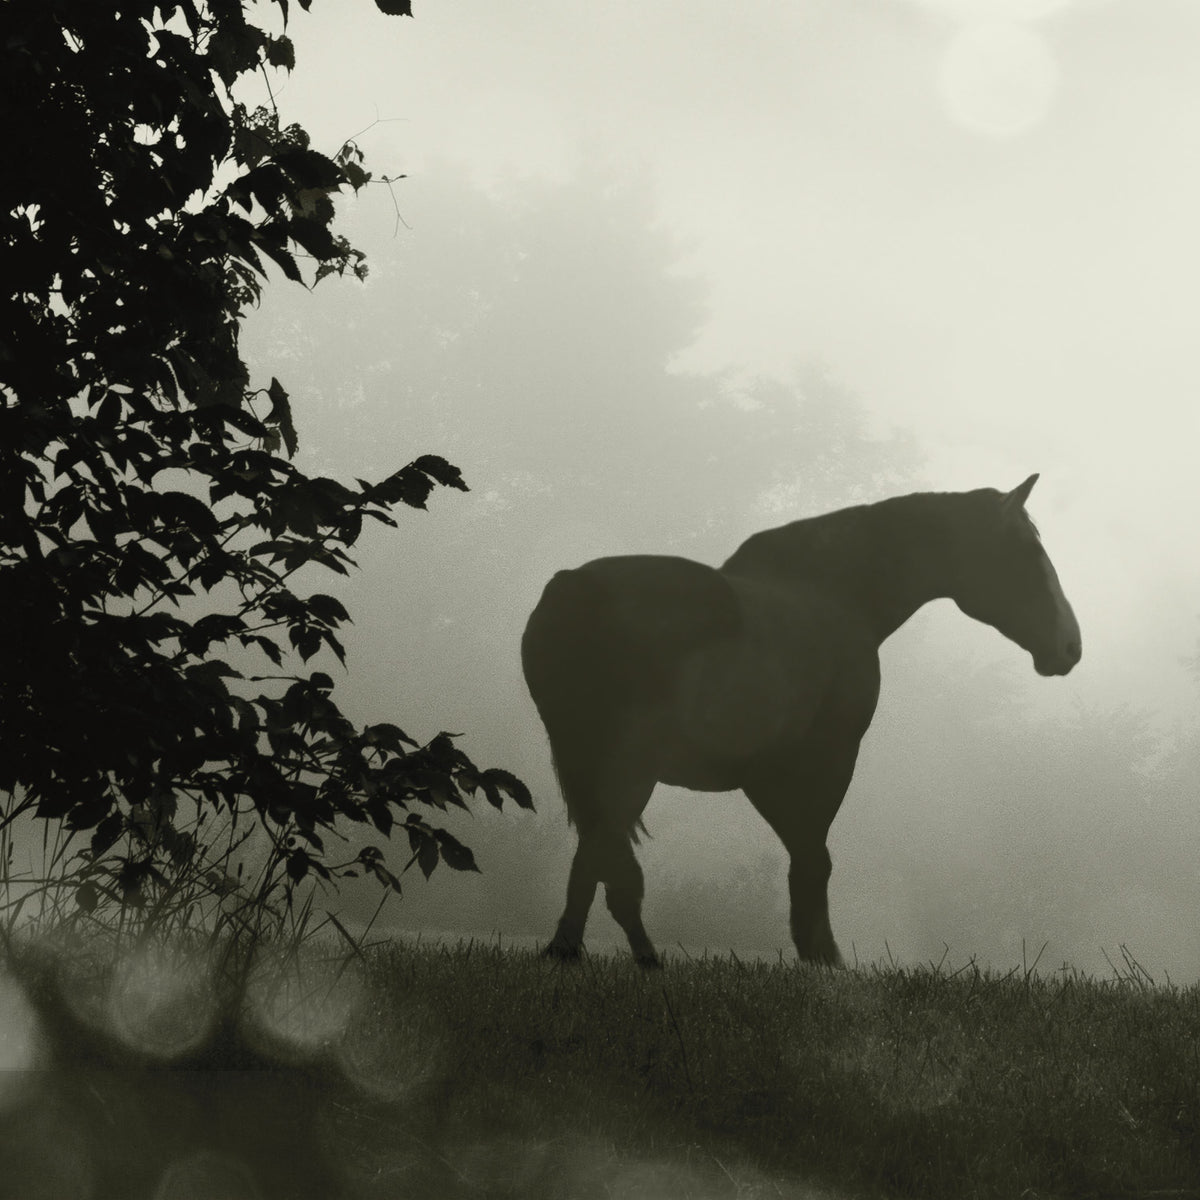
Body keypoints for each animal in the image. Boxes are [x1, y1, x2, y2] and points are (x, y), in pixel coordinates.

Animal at [521, 474, 1081, 967]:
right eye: (1027, 551)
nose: (1070, 646)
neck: (834, 596)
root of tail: (573, 587)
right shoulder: (824, 759)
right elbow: (813, 856)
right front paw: (823, 958)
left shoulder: (765, 774)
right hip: (627, 766)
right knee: (606, 853)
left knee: (600, 855)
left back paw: (596, 953)